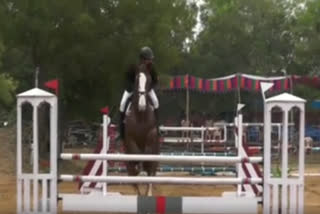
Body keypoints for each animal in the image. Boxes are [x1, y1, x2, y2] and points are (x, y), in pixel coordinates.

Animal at [124, 62, 161, 196]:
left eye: (149, 81)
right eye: (136, 80)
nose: (142, 105)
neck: (140, 116)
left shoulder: (152, 134)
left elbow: (147, 153)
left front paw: (143, 167)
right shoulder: (129, 138)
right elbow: (136, 153)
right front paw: (139, 168)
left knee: (150, 179)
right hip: (128, 167)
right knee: (135, 184)